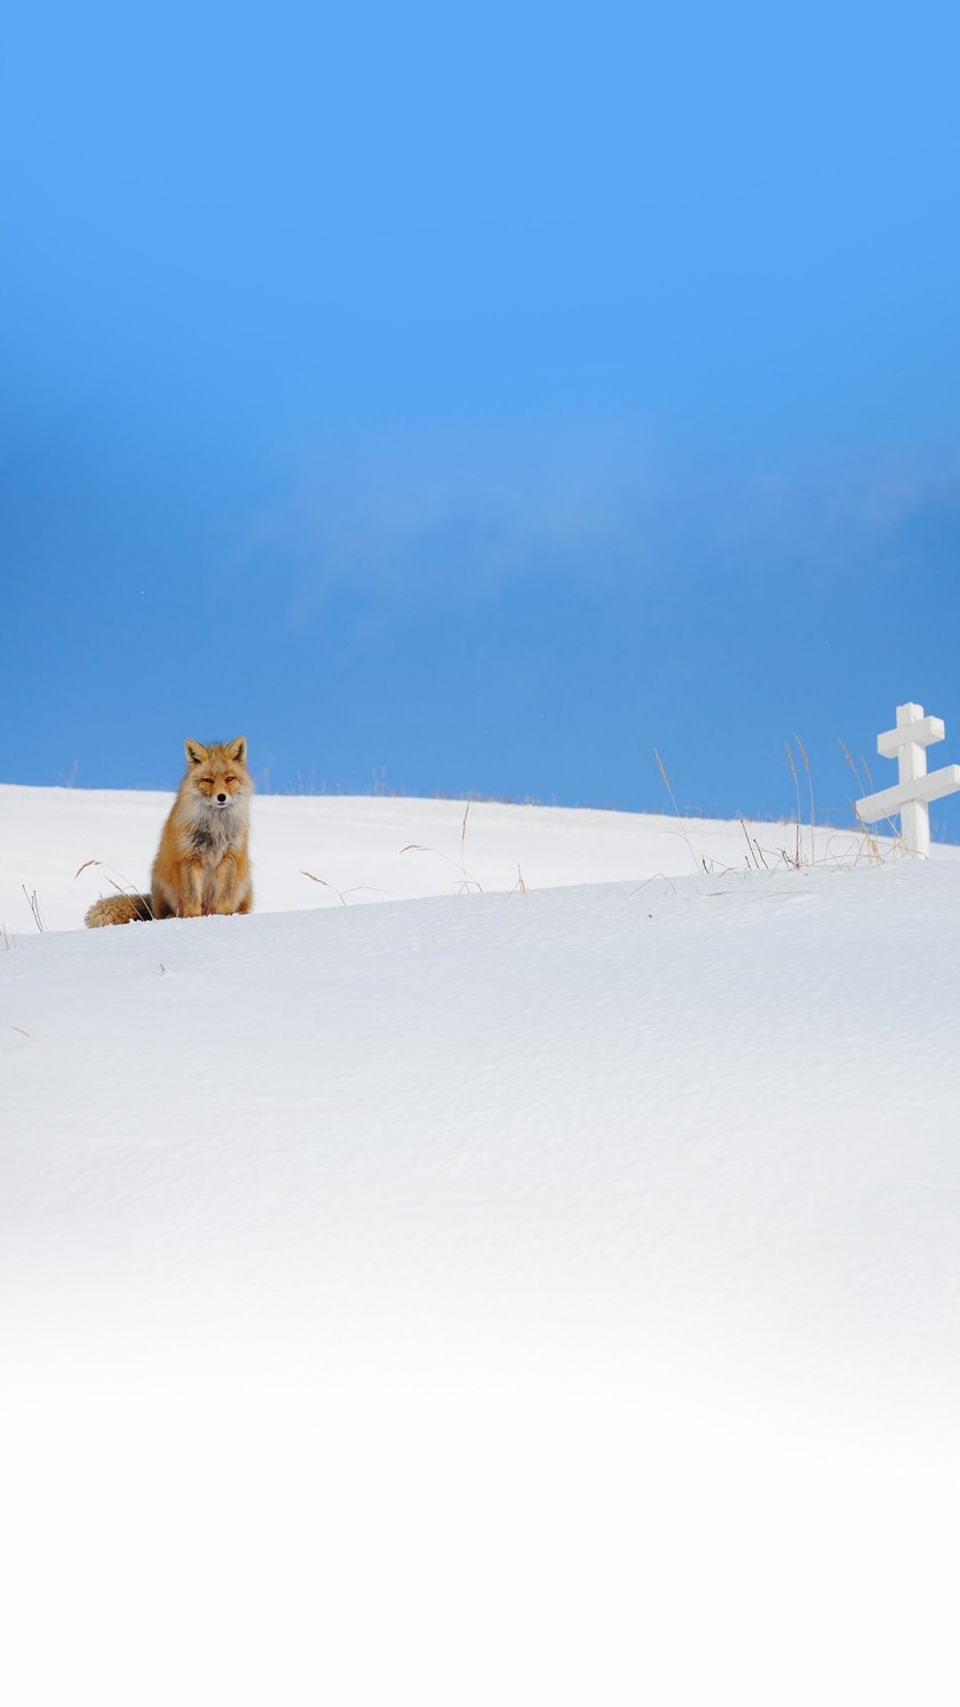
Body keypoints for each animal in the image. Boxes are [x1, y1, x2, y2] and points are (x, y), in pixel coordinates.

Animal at [85, 730, 252, 928]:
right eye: (208, 780)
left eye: (229, 779)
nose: (221, 797)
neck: (215, 826)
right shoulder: (189, 855)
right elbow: (192, 897)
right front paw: (193, 918)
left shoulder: (230, 854)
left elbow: (225, 894)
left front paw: (225, 916)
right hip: (160, 880)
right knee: (162, 914)